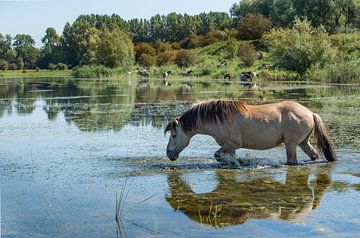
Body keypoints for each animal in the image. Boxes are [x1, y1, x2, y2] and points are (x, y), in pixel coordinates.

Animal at [165, 100, 336, 165]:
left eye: (174, 135)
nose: (169, 154)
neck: (219, 118)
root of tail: (311, 113)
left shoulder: (233, 144)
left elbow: (218, 155)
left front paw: (238, 164)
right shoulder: (230, 146)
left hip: (291, 144)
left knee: (292, 161)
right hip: (302, 142)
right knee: (314, 155)